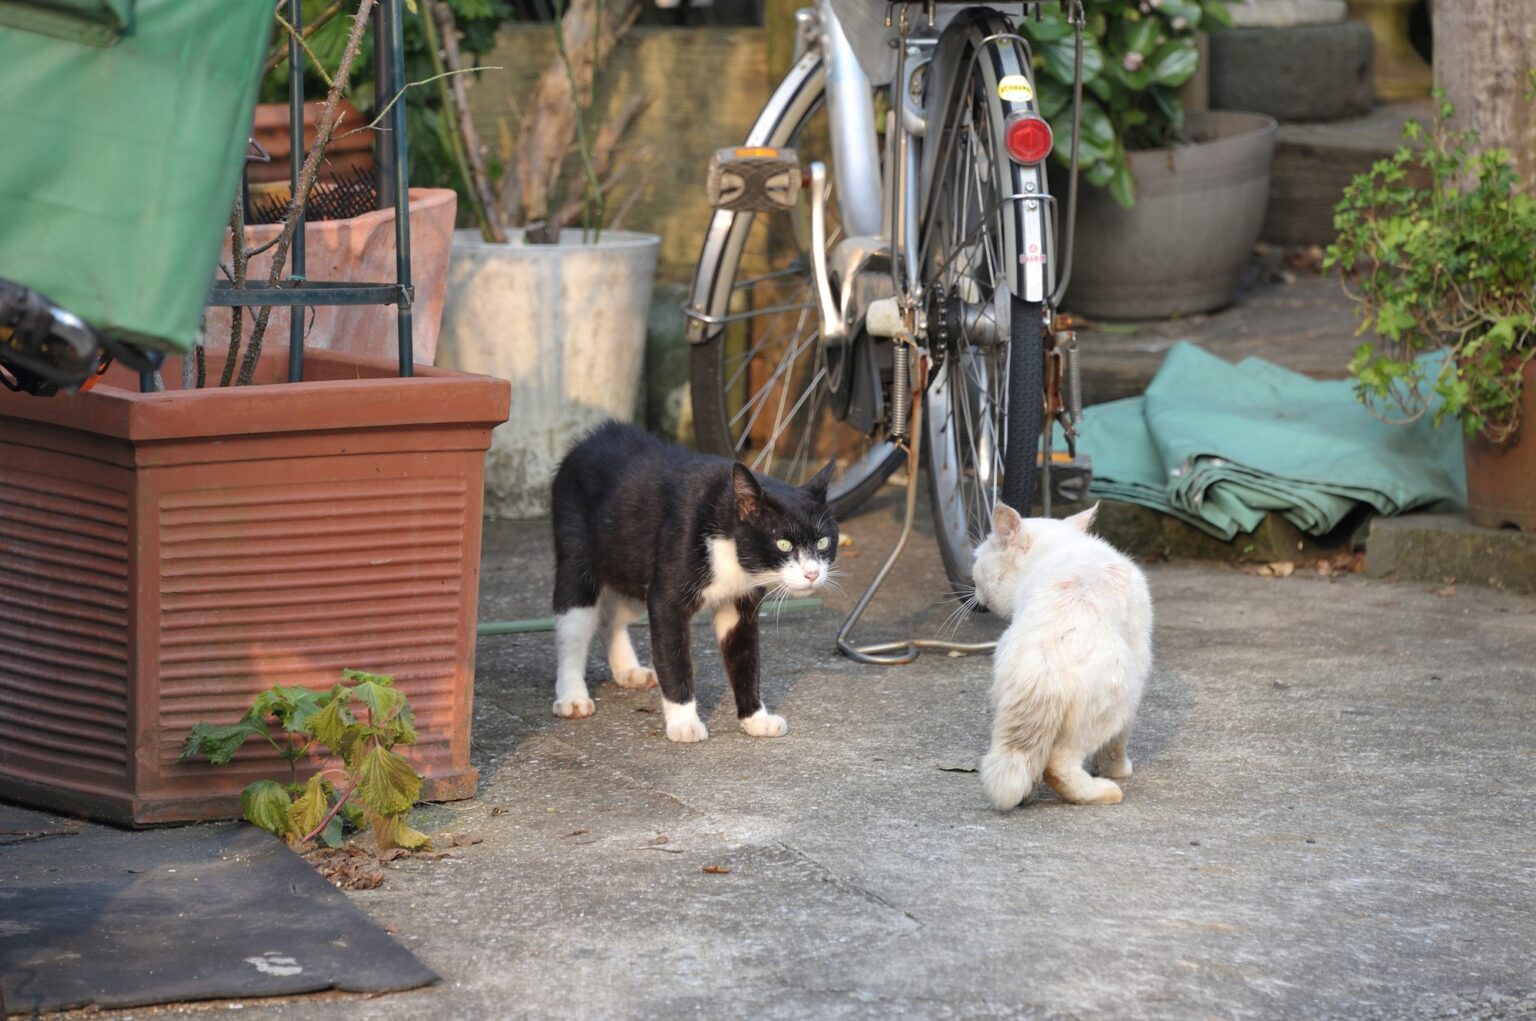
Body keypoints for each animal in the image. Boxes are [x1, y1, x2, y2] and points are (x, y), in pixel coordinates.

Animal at [552, 420, 841, 740]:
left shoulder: (741, 602)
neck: (729, 546)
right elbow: (674, 659)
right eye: (784, 544)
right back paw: (572, 696)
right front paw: (684, 723)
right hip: (578, 555)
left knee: (612, 617)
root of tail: (595, 435)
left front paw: (756, 718)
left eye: (824, 542)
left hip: (629, 565)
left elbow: (746, 658)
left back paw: (628, 670)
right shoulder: (666, 599)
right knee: (574, 626)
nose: (812, 573)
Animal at [970, 497, 1155, 810]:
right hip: (1119, 698)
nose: (973, 589)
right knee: (1058, 764)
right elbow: (1117, 744)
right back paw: (1104, 791)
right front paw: (1117, 770)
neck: (1062, 545)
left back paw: (1027, 793)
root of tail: (1041, 661)